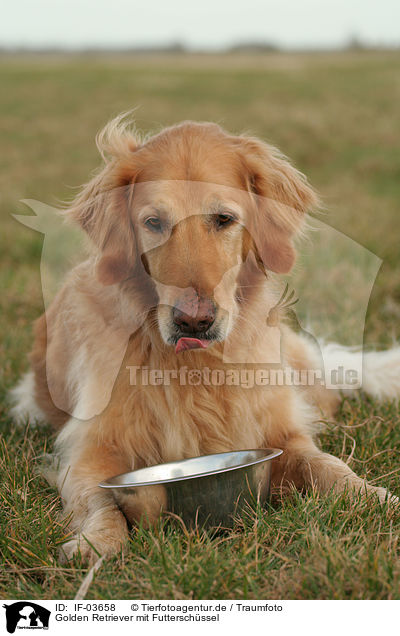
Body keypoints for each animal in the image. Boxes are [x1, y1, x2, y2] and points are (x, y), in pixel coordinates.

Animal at [10, 113, 400, 560]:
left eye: (224, 219)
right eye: (154, 223)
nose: (193, 322)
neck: (196, 367)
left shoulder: (281, 433)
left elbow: (329, 466)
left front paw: (378, 499)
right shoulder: (91, 451)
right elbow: (100, 500)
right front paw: (98, 542)